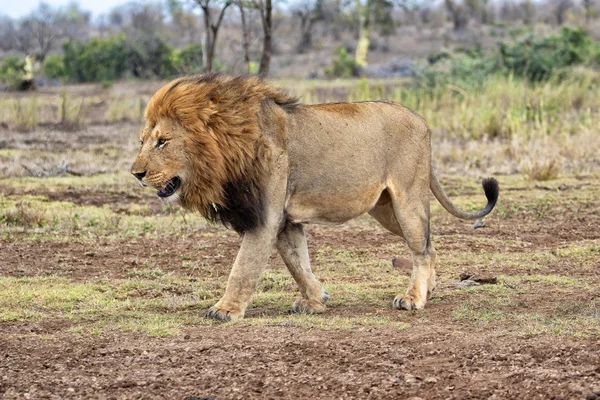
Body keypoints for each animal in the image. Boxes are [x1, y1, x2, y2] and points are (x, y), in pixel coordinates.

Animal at [131, 73, 496, 320]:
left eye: (162, 142)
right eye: (143, 141)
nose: (136, 173)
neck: (227, 149)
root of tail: (421, 119)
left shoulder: (265, 218)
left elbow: (243, 267)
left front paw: (225, 310)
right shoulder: (284, 220)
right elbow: (297, 263)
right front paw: (316, 299)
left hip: (407, 200)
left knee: (421, 249)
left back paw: (414, 298)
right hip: (386, 209)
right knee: (430, 246)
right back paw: (428, 290)